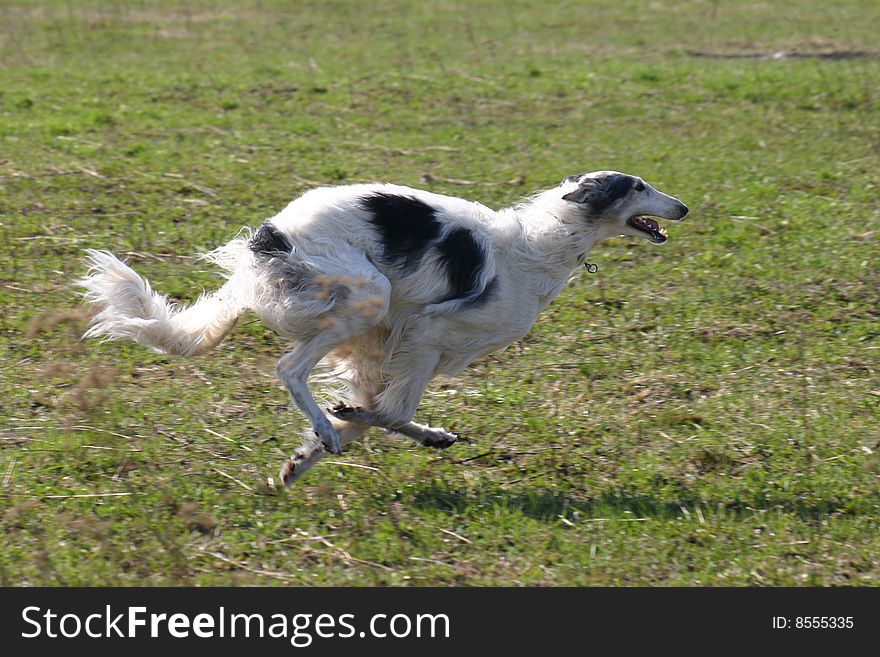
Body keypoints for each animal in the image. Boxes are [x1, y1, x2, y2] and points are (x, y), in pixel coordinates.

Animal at [77, 172, 688, 484]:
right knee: (289, 368)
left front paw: (303, 459)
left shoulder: (391, 347)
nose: (682, 207)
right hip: (369, 295)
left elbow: (376, 414)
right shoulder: (425, 334)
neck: (541, 245)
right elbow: (389, 413)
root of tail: (270, 236)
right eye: (637, 187)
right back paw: (325, 424)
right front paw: (342, 425)